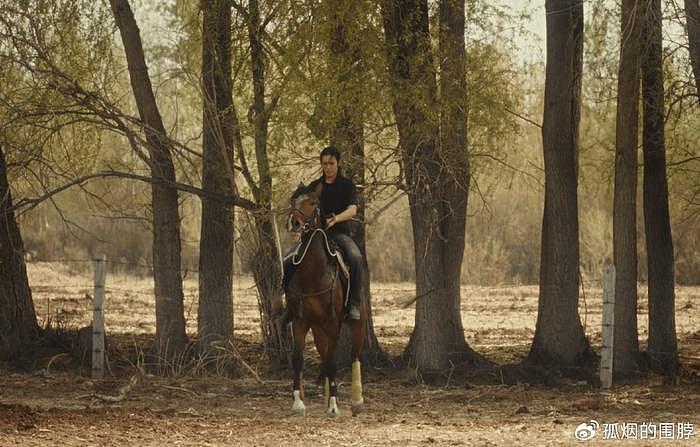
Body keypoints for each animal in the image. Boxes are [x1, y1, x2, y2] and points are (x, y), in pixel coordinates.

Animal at [286, 186, 366, 416]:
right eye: (293, 201)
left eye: (312, 203)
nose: (294, 223)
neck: (314, 274)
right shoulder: (300, 321)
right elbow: (298, 358)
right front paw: (298, 403)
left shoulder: (332, 323)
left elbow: (333, 361)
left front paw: (333, 405)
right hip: (318, 329)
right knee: (324, 354)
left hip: (357, 323)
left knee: (354, 355)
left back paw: (356, 401)